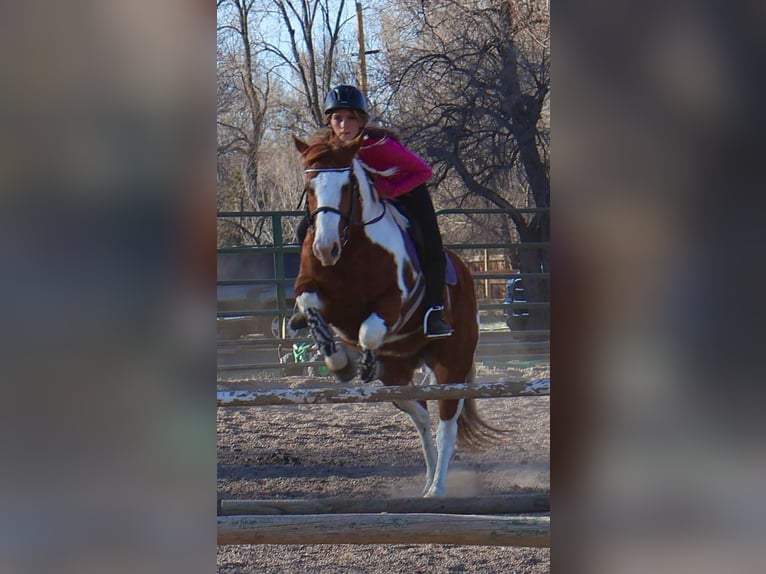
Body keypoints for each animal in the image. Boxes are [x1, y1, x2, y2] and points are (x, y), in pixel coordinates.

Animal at [292, 133, 504, 498]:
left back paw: (438, 489)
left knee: (445, 425)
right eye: (310, 186)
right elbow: (309, 304)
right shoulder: (315, 292)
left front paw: (359, 362)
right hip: (397, 378)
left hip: (452, 365)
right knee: (421, 416)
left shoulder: (394, 301)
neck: (351, 247)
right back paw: (428, 480)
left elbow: (369, 330)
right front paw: (339, 361)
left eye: (347, 184)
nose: (325, 248)